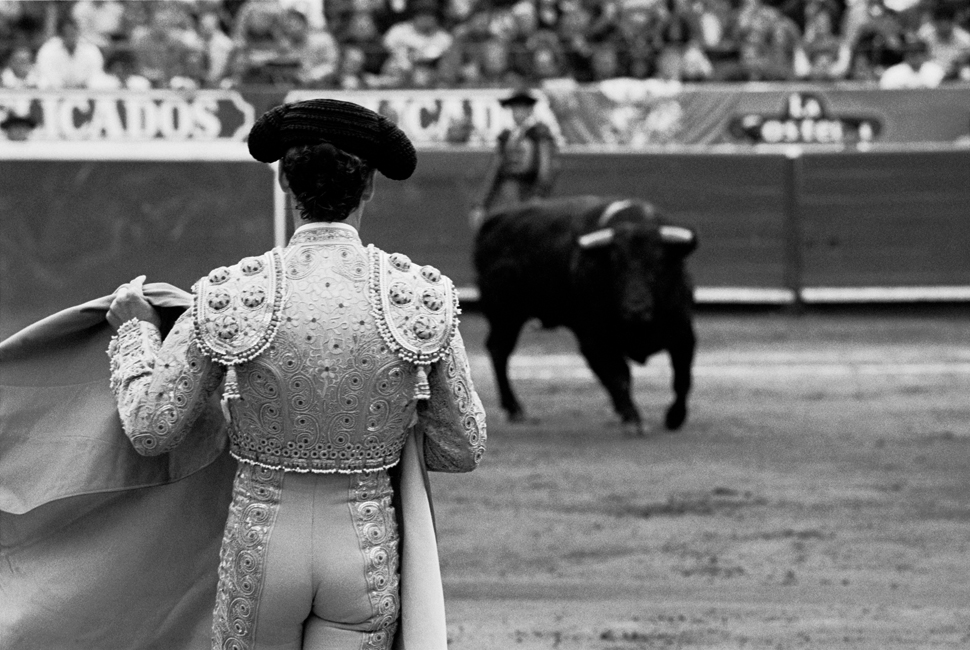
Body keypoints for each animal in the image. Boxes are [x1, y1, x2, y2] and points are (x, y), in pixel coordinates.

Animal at [470, 195, 692, 432]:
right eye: (615, 265)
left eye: (659, 263)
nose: (636, 309)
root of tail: (495, 220)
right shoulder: (594, 340)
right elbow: (619, 376)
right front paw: (633, 419)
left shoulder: (683, 334)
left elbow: (682, 378)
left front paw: (674, 418)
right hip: (505, 314)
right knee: (499, 350)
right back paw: (514, 409)